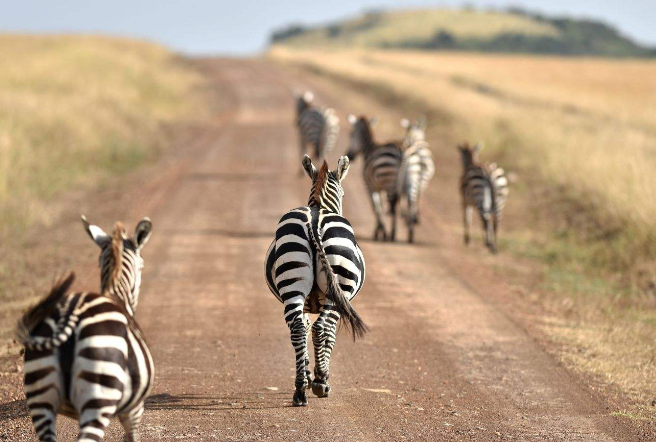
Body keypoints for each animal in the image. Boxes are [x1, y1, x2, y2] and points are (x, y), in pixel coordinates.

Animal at [16, 216, 154, 440]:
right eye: (142, 266)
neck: (115, 294)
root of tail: (71, 316)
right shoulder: (134, 409)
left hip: (40, 400)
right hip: (99, 395)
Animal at [266, 155, 368, 408]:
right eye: (344, 195)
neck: (319, 205)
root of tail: (314, 220)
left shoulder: (303, 303)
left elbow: (305, 328)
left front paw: (307, 374)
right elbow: (326, 335)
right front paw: (318, 377)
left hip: (292, 284)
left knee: (298, 328)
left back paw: (300, 390)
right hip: (339, 287)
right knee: (324, 327)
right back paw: (321, 383)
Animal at [346, 112, 402, 240]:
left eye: (351, 134)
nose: (349, 156)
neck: (368, 150)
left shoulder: (370, 186)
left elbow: (375, 207)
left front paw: (380, 231)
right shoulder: (380, 188)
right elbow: (380, 206)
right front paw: (379, 230)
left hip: (390, 183)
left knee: (393, 207)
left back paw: (392, 233)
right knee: (397, 206)